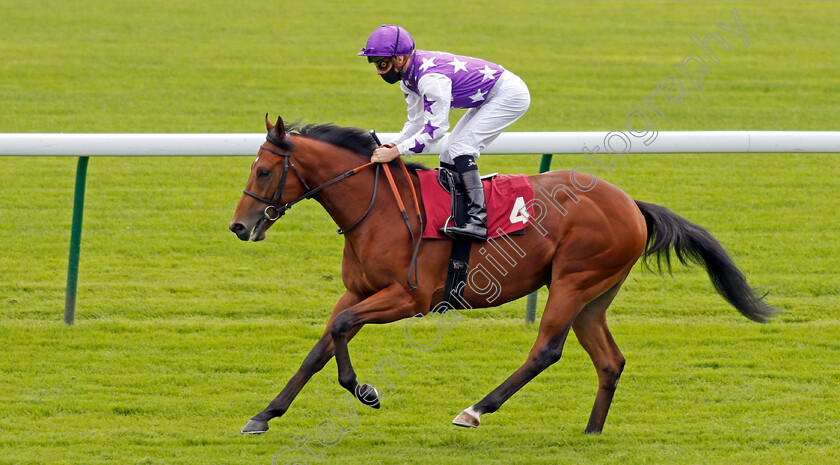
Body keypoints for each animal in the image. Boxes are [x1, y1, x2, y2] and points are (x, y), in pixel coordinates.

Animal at [228, 115, 776, 436]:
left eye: (262, 171)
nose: (239, 226)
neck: (378, 207)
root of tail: (631, 204)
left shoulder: (409, 298)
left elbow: (340, 332)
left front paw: (365, 390)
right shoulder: (357, 292)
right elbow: (320, 346)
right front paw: (265, 414)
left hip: (573, 281)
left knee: (546, 350)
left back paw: (476, 409)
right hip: (594, 296)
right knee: (610, 360)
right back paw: (591, 432)